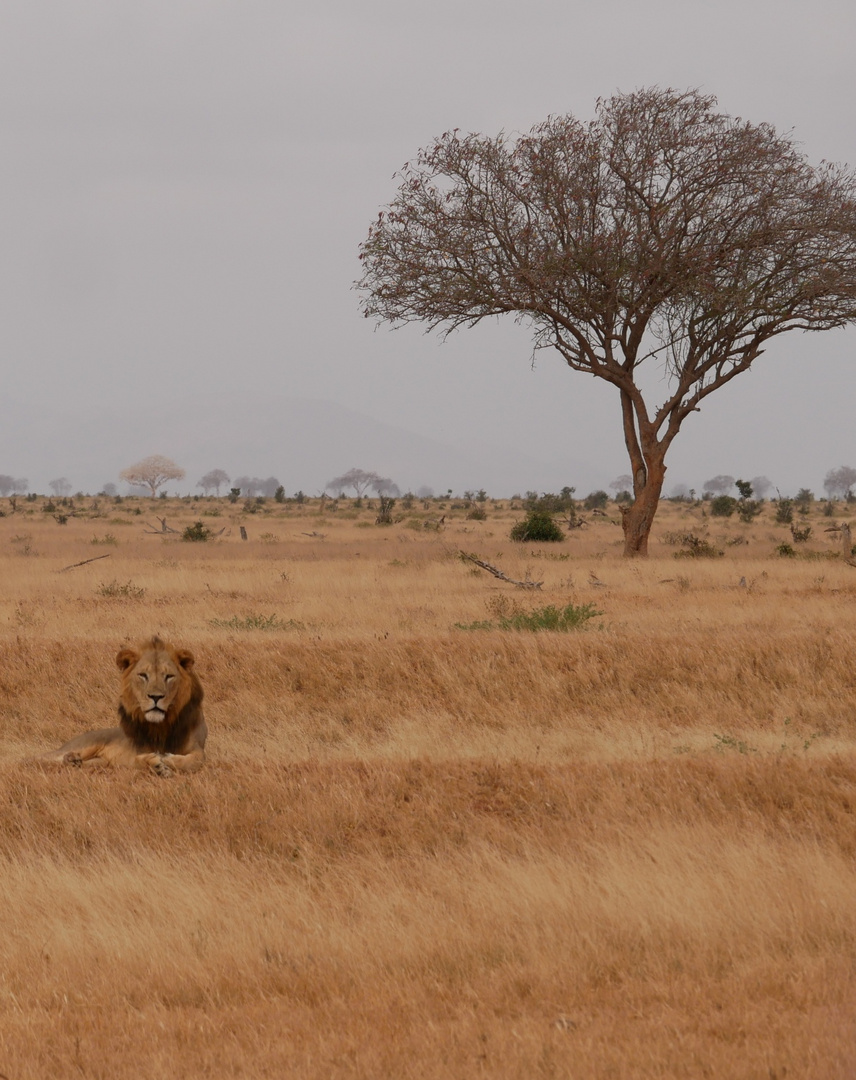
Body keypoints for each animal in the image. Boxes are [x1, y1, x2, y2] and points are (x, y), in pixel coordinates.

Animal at [39, 630, 207, 777]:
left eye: (169, 676)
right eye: (143, 675)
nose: (155, 697)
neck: (161, 726)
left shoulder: (198, 747)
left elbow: (196, 761)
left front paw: (165, 761)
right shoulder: (132, 754)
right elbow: (138, 760)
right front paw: (156, 763)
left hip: (99, 762)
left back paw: (73, 760)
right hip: (84, 745)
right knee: (43, 758)